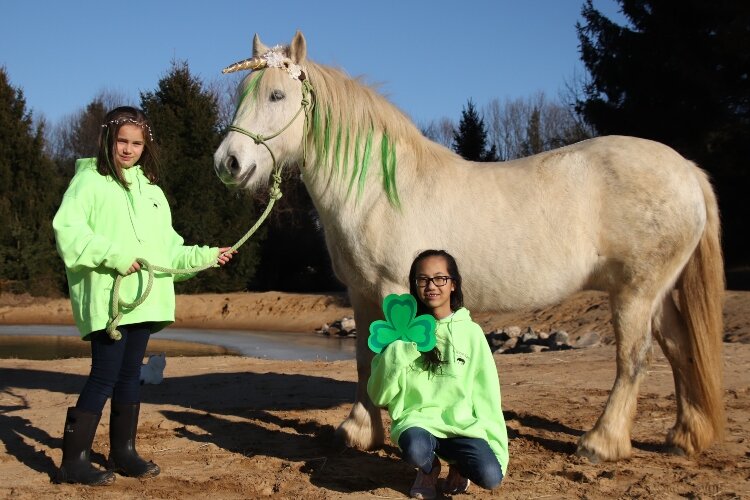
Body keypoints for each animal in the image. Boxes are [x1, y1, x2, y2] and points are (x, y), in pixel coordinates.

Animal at [214, 30, 724, 460]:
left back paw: (601, 443)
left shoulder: (392, 289)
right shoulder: (360, 293)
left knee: (633, 359)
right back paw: (684, 438)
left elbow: (390, 359)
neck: (380, 189)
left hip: (635, 292)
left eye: (277, 95)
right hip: (655, 293)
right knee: (680, 348)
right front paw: (359, 432)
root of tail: (686, 170)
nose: (228, 163)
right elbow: (363, 361)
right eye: (243, 95)